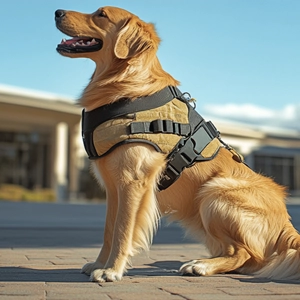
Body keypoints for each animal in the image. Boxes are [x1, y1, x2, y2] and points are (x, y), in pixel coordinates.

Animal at [55, 5, 298, 282]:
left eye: (101, 15)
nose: (57, 12)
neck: (127, 87)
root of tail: (288, 225)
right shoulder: (114, 187)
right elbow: (109, 231)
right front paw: (99, 264)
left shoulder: (133, 181)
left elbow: (122, 230)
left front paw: (112, 270)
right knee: (241, 256)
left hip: (215, 192)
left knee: (247, 254)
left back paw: (201, 265)